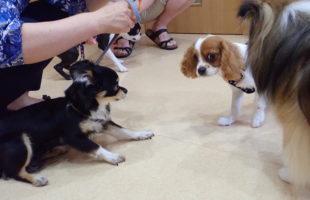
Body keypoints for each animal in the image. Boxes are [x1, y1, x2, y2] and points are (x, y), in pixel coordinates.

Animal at [0, 60, 154, 186]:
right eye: (115, 85)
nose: (126, 90)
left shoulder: (103, 123)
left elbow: (124, 131)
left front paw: (142, 134)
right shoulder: (74, 137)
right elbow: (96, 147)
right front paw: (113, 156)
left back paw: (55, 150)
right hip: (21, 142)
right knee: (14, 173)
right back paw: (37, 179)